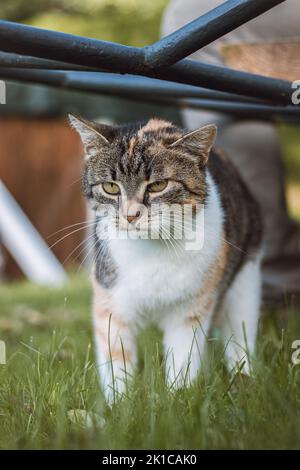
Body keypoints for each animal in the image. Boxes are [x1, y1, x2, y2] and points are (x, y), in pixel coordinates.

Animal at [69, 113, 262, 404]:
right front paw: (119, 406)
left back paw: (246, 380)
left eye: (158, 185)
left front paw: (177, 399)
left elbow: (183, 357)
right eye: (110, 187)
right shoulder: (112, 303)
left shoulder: (190, 308)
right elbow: (117, 357)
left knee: (240, 335)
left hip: (245, 281)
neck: (153, 249)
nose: (130, 215)